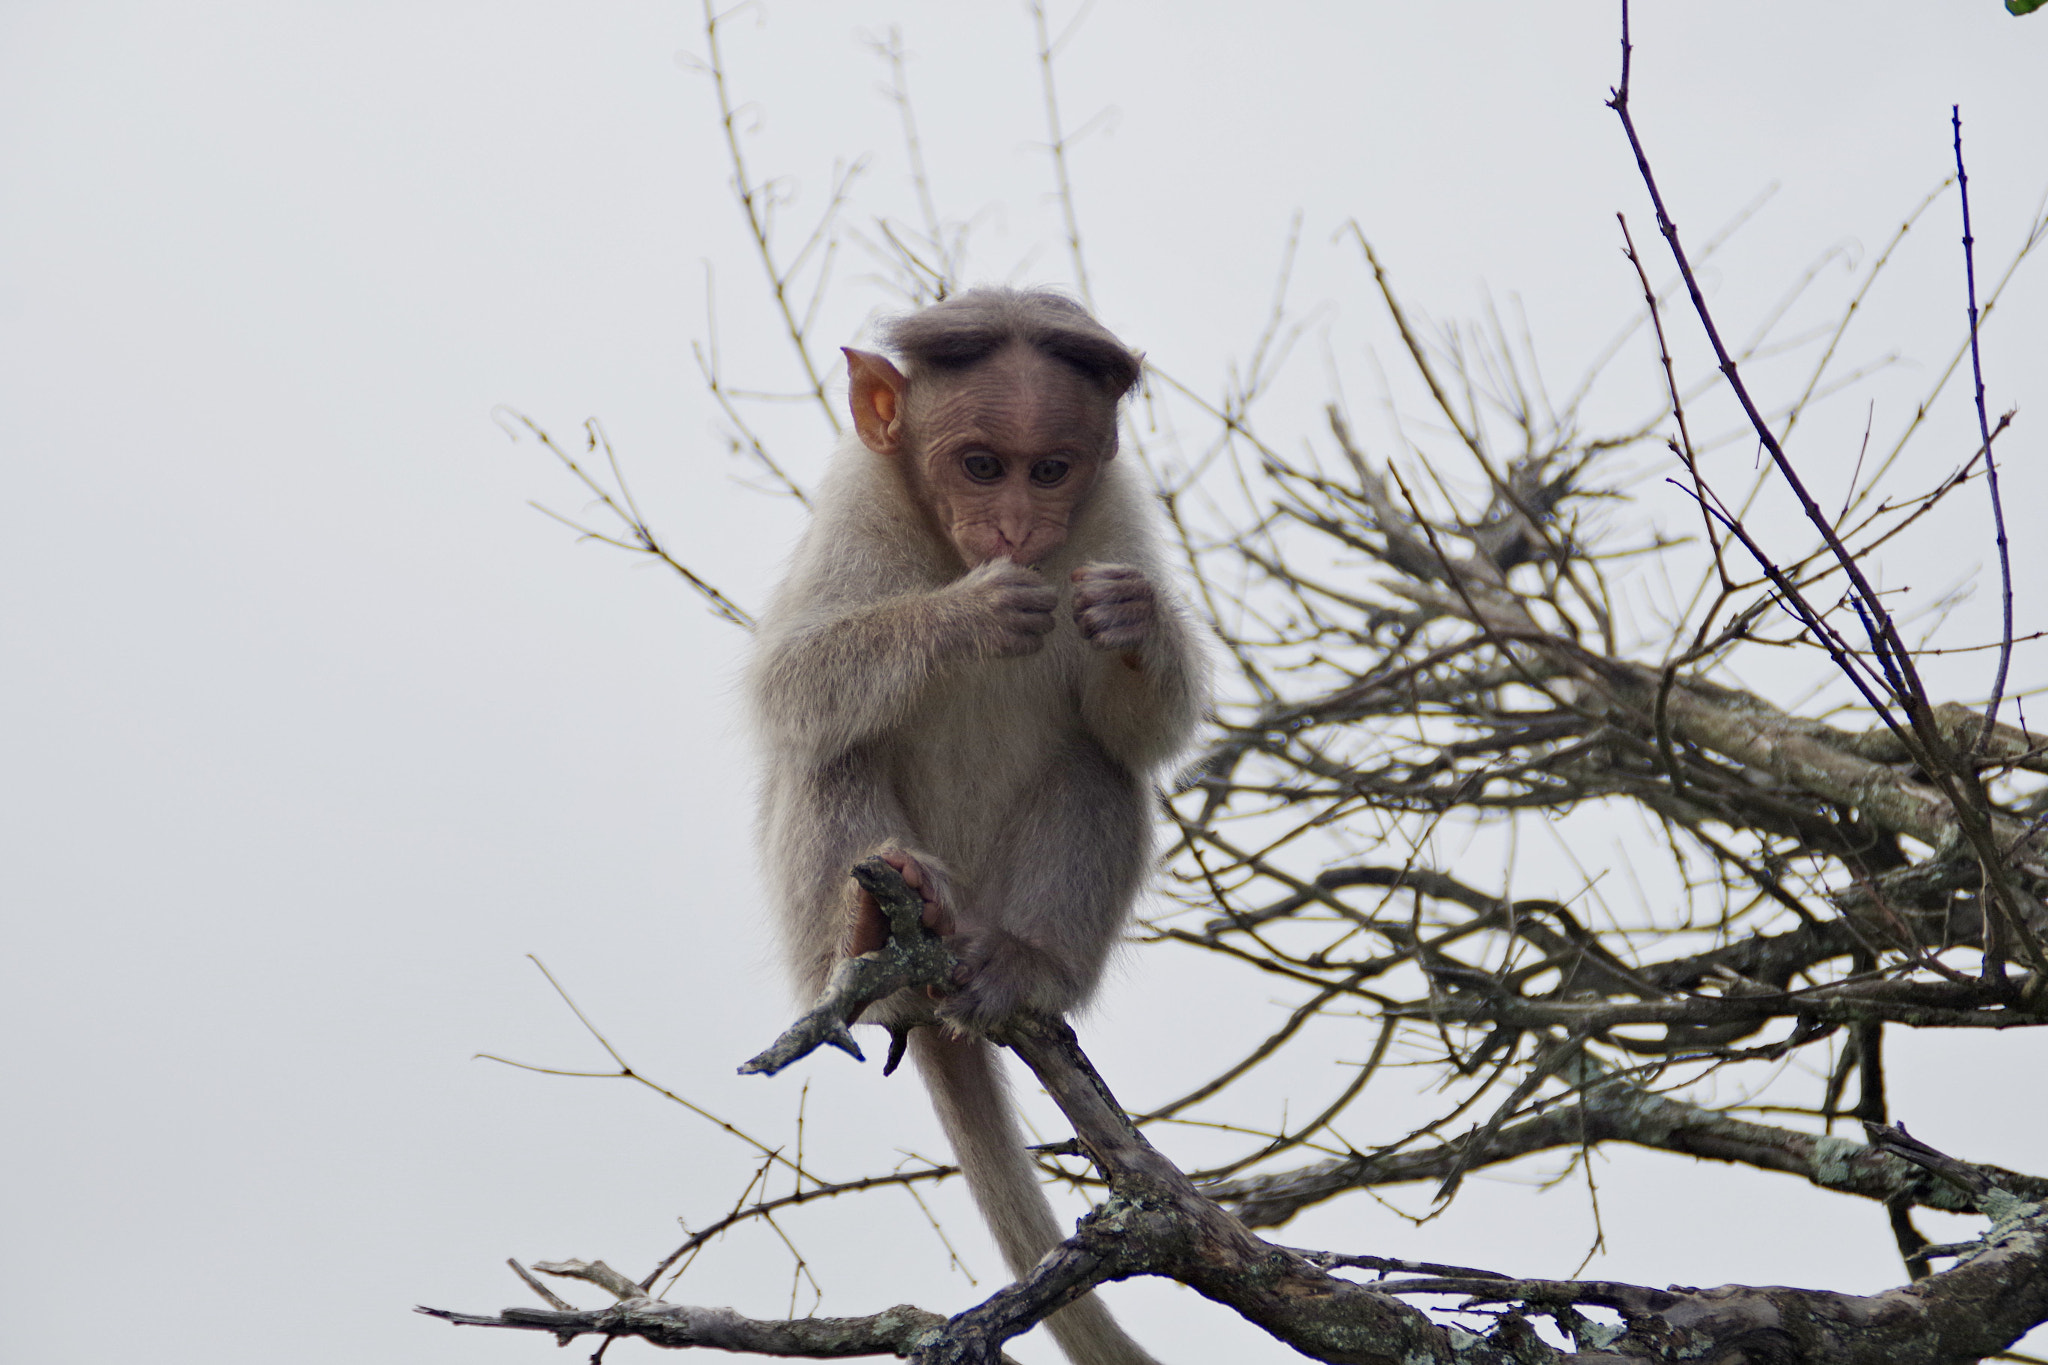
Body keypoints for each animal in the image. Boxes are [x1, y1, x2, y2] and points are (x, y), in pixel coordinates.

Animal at [749, 288, 1196, 1365]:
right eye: (981, 464)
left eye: (1052, 468)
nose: (1017, 524)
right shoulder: (854, 510)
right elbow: (791, 680)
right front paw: (968, 616)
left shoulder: (1116, 513)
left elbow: (1142, 732)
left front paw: (1135, 618)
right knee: (834, 748)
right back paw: (868, 934)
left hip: (994, 906)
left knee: (1097, 763)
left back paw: (1026, 963)